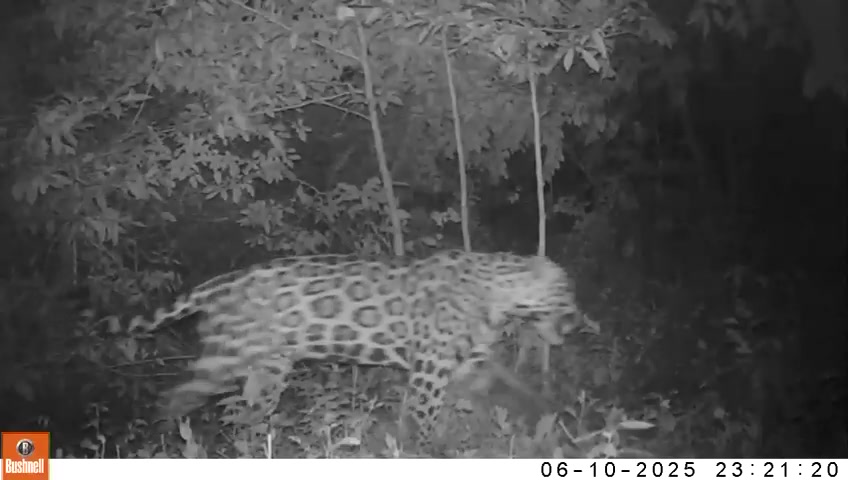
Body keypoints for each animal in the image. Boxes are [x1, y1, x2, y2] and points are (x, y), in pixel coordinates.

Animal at [127, 249, 580, 452]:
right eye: (565, 292)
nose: (575, 321)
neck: (499, 296)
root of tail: (221, 281)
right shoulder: (429, 372)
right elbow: (423, 419)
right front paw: (427, 450)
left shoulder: (471, 365)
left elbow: (508, 390)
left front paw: (544, 416)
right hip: (223, 359)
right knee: (175, 395)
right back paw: (161, 441)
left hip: (268, 368)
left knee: (244, 412)